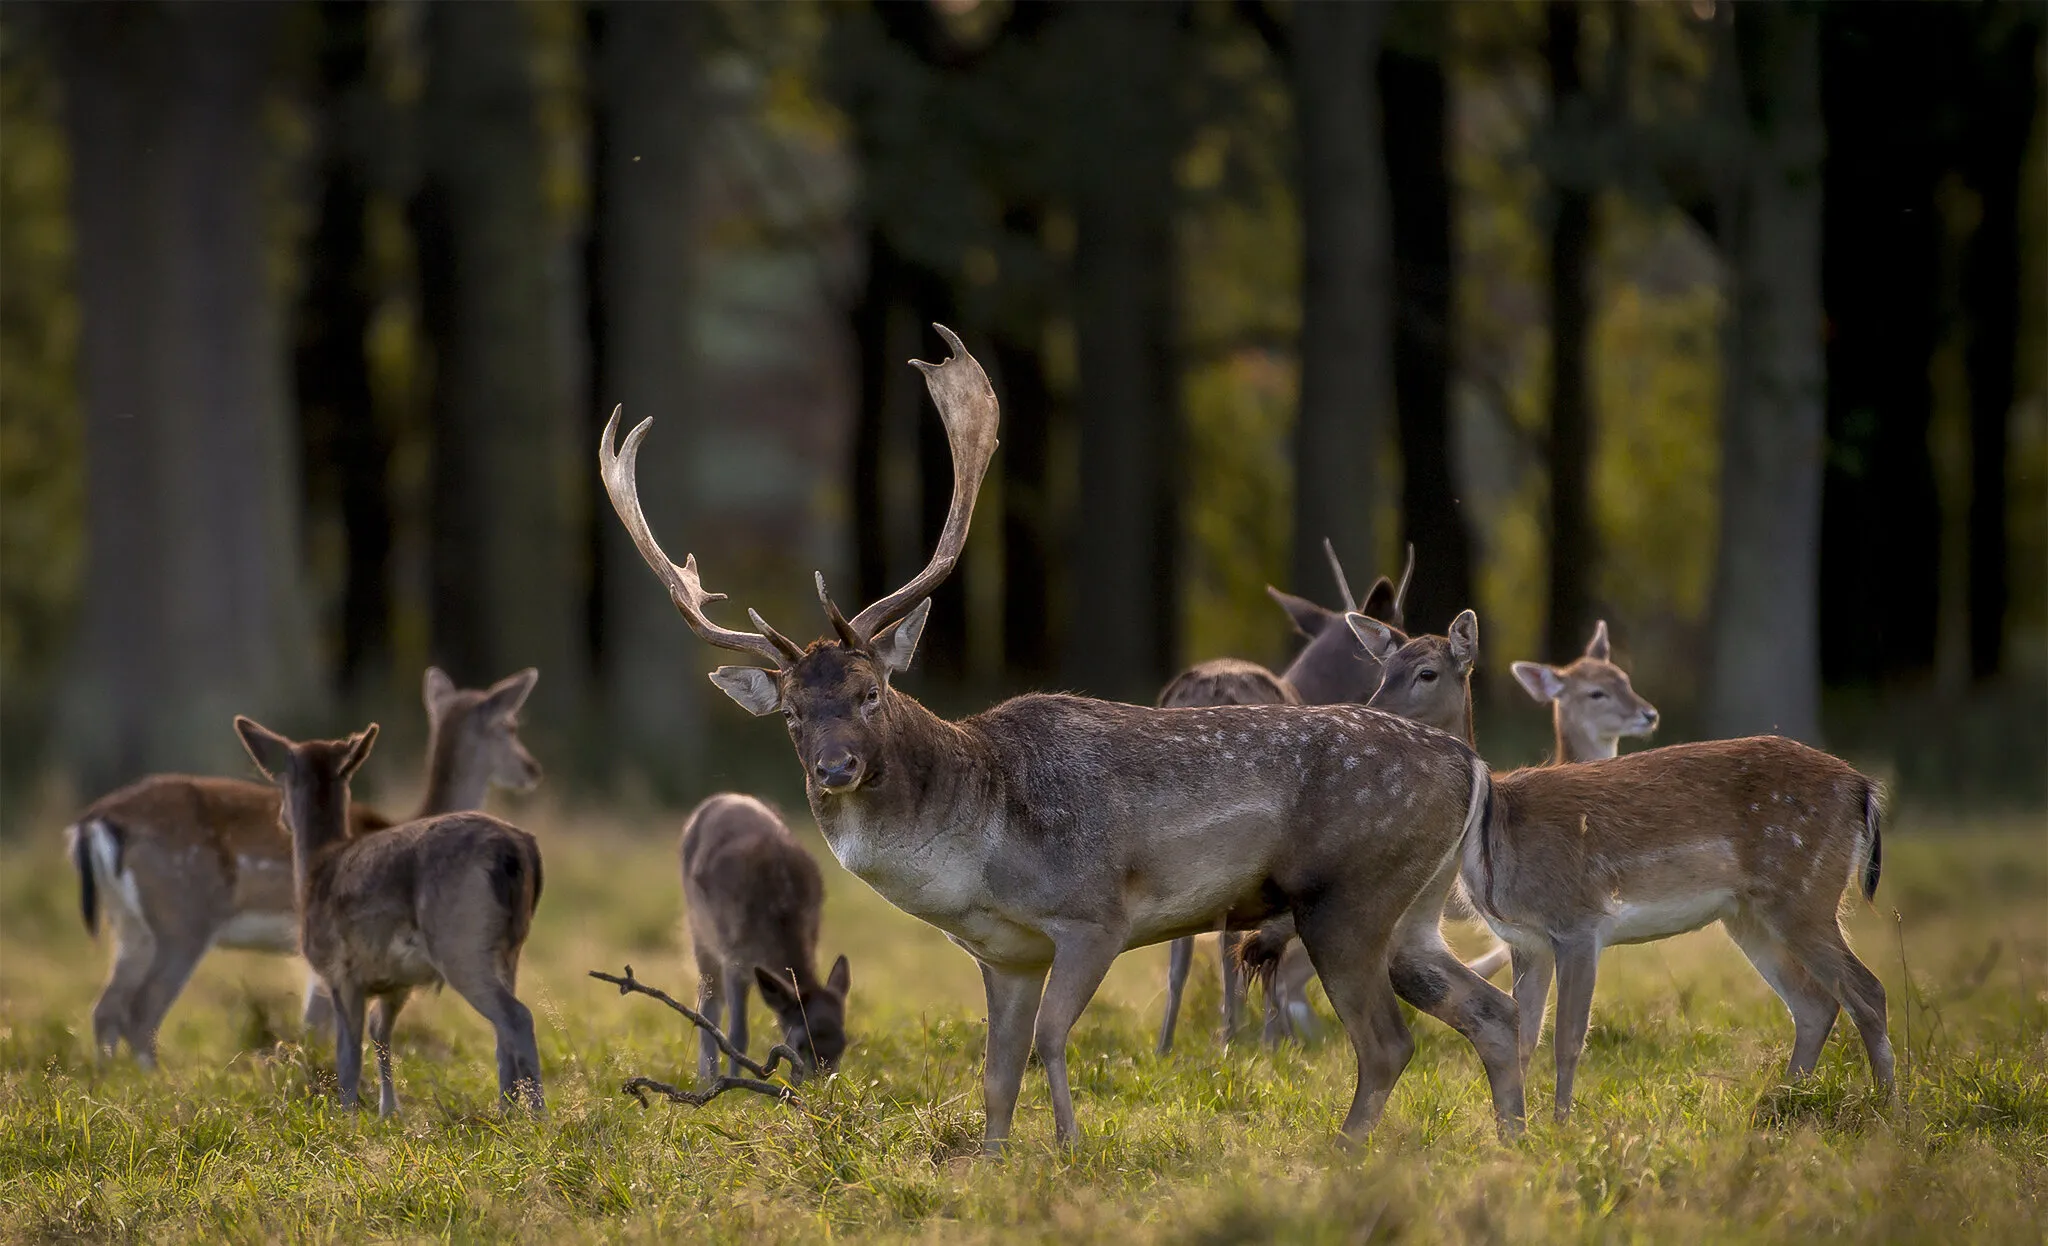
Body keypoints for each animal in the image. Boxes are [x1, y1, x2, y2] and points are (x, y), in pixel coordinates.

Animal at [64, 667, 542, 1066]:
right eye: (510, 726)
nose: (532, 769)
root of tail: (93, 821)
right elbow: (324, 1026)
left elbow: (315, 1026)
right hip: (182, 918)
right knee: (141, 1012)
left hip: (131, 927)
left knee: (105, 1008)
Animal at [233, 717, 546, 1117]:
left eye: (281, 782)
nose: (281, 818)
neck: (316, 869)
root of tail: (518, 850)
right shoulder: (395, 983)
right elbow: (381, 1034)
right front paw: (388, 1112)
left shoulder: (339, 971)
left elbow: (348, 1055)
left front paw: (348, 1116)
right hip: (510, 949)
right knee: (502, 1030)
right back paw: (506, 1113)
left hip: (461, 942)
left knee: (516, 1017)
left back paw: (538, 1115)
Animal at [680, 793, 851, 1079]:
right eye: (799, 1044)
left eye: (843, 1043)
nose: (817, 1088)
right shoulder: (733, 955)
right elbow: (737, 1034)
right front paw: (733, 1086)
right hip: (699, 930)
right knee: (709, 1003)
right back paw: (706, 1079)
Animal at [1345, 610, 1892, 1119]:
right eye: (1385, 668)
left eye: (1428, 672)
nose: (1370, 710)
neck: (1493, 829)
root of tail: (1863, 789)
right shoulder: (1526, 940)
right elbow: (1524, 1036)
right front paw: (1519, 1126)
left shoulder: (1578, 921)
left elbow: (1568, 1039)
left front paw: (1560, 1126)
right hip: (1748, 915)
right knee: (1814, 1003)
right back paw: (1777, 1105)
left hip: (1804, 890)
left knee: (1867, 990)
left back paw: (1889, 1111)